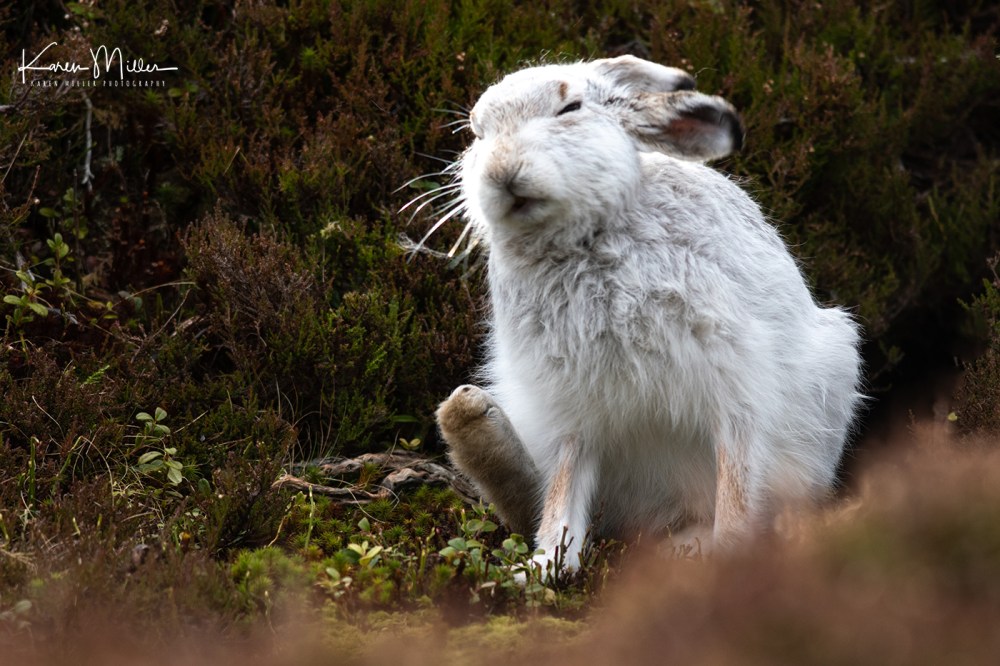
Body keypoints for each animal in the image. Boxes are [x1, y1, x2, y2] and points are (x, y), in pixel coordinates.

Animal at [433, 55, 864, 574]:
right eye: (478, 134)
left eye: (570, 108)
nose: (501, 171)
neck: (582, 239)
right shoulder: (572, 408)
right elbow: (565, 487)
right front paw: (543, 567)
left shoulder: (736, 383)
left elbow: (736, 477)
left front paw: (731, 558)